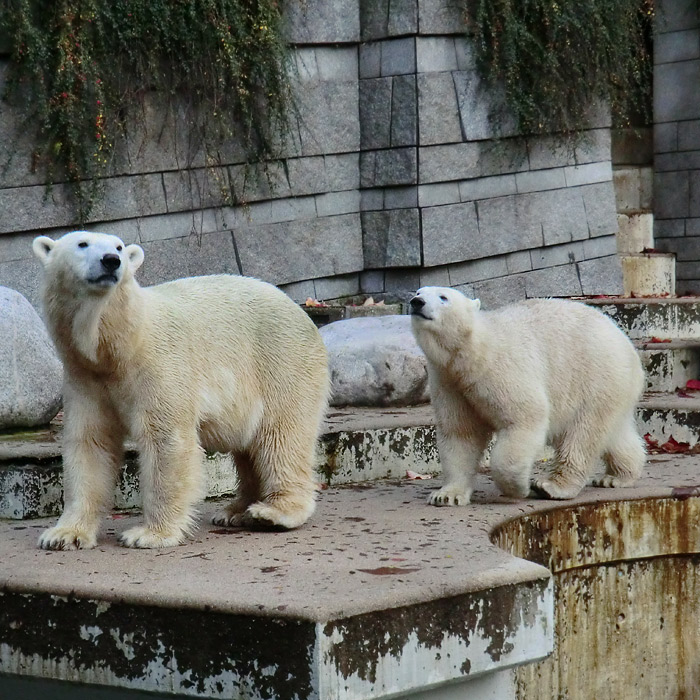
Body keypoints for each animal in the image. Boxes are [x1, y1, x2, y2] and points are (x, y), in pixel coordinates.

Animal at [32, 230, 328, 548]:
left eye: (119, 247)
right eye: (82, 244)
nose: (111, 261)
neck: (116, 347)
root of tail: (300, 310)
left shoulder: (158, 364)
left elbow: (166, 440)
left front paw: (149, 534)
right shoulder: (85, 379)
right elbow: (90, 443)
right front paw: (64, 535)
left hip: (280, 362)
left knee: (281, 436)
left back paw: (274, 512)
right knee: (249, 446)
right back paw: (235, 511)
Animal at [410, 288, 644, 506]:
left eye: (443, 297)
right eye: (419, 291)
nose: (416, 302)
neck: (473, 353)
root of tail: (627, 345)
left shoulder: (502, 368)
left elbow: (525, 418)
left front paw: (518, 488)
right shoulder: (449, 383)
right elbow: (460, 433)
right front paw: (446, 495)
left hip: (595, 376)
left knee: (582, 435)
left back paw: (552, 486)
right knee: (614, 433)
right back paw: (616, 477)